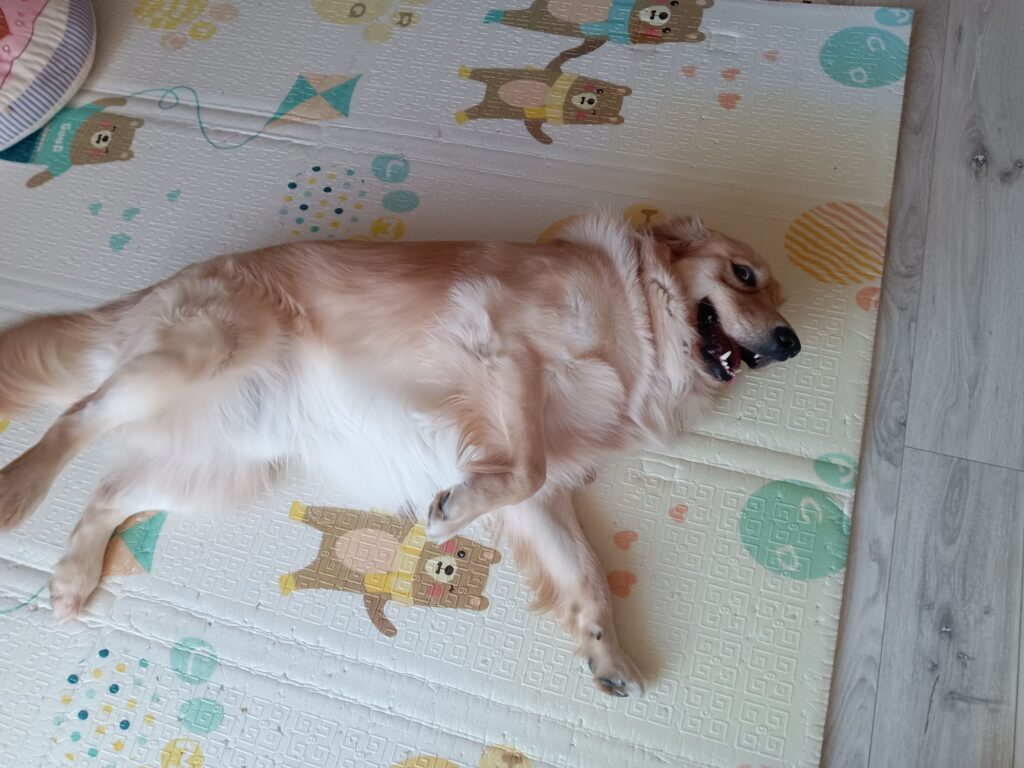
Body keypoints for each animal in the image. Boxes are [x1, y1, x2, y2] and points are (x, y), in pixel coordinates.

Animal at [0, 212, 799, 697]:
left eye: (778, 294)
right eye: (744, 276)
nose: (791, 342)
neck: (637, 322)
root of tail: (148, 295)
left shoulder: (545, 503)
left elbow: (588, 575)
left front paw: (608, 654)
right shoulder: (501, 342)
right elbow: (525, 465)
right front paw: (450, 511)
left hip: (233, 464)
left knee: (109, 489)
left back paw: (70, 579)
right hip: (194, 353)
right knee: (75, 420)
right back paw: (18, 489)